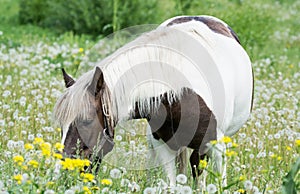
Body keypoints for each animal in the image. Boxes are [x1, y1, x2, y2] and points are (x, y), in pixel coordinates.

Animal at [52, 15, 252, 186]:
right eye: (61, 125)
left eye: (86, 121)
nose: (61, 173)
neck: (180, 90)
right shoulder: (162, 144)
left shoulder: (213, 144)